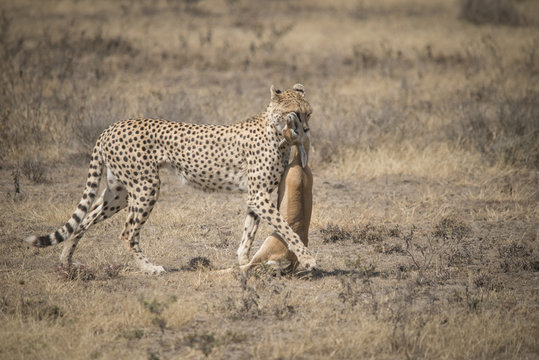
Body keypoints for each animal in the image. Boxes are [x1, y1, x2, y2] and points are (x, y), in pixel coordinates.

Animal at [25, 84, 316, 274]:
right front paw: (307, 258)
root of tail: (111, 126)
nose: (306, 129)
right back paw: (149, 268)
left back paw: (66, 262)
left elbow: (249, 232)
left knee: (84, 220)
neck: (275, 131)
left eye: (308, 112)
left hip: (119, 192)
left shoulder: (257, 196)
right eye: (295, 112)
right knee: (127, 232)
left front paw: (244, 261)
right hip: (146, 186)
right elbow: (286, 228)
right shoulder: (259, 196)